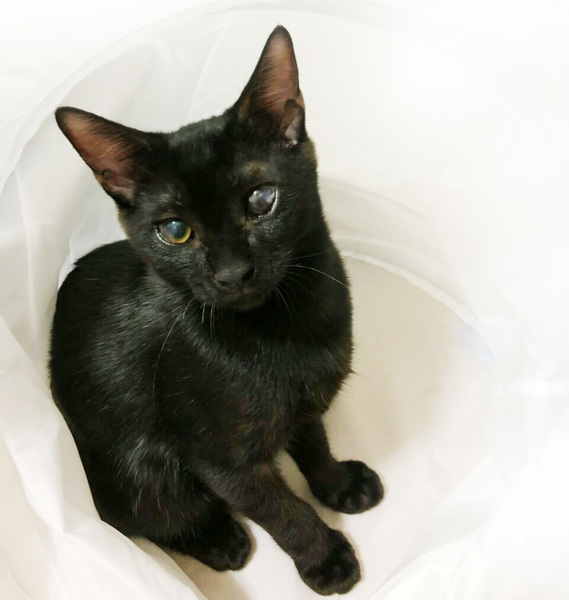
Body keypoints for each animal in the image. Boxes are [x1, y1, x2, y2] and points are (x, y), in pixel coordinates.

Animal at [50, 26, 383, 596]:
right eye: (175, 230)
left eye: (262, 199)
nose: (233, 273)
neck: (286, 329)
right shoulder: (221, 460)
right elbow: (281, 511)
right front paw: (326, 558)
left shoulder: (305, 403)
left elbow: (313, 442)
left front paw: (338, 485)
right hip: (139, 469)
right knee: (138, 516)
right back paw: (219, 539)